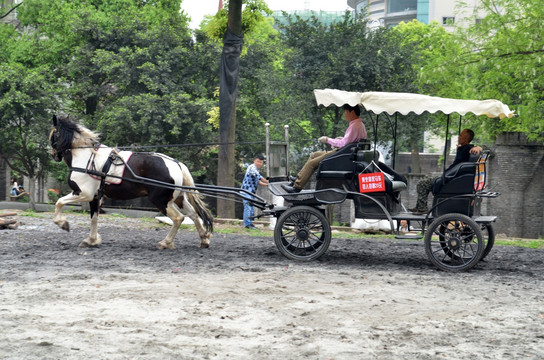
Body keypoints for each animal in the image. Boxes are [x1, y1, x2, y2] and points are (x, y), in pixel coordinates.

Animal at [49, 115, 212, 250]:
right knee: (193, 214)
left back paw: (165, 243)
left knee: (178, 218)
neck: (87, 158)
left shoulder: (84, 194)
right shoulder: (95, 197)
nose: (53, 155)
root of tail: (176, 164)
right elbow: (94, 218)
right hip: (178, 199)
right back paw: (204, 239)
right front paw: (91, 240)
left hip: (161, 201)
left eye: (52, 135)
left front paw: (63, 224)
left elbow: (59, 202)